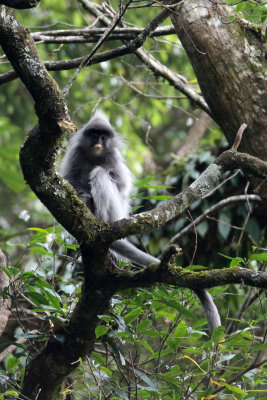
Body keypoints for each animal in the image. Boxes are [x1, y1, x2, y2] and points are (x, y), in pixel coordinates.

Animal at [60, 111, 222, 332]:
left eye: (103, 137)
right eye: (94, 135)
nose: (99, 142)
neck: (95, 155)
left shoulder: (113, 158)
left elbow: (121, 185)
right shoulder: (76, 153)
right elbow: (69, 180)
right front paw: (81, 195)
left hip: (115, 212)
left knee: (100, 173)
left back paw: (99, 219)